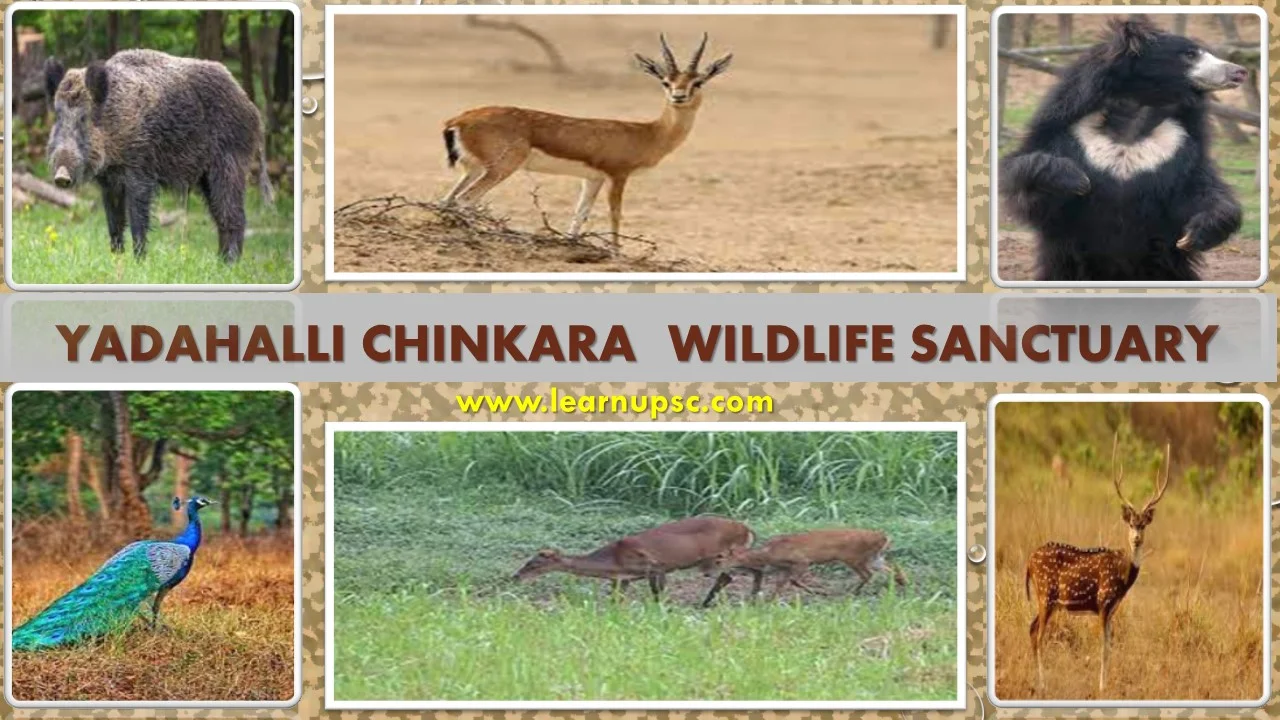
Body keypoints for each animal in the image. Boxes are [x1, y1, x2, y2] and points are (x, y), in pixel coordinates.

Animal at [445, 32, 737, 244]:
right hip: (501, 168)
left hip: (474, 169)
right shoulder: (618, 175)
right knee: (465, 200)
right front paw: (616, 252)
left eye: (698, 82)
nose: (679, 96)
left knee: (448, 200)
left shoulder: (592, 179)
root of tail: (459, 119)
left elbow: (579, 216)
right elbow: (615, 215)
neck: (649, 133)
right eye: (665, 81)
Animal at [509, 515, 747, 599]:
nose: (516, 576)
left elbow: (657, 595)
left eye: (533, 563)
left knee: (727, 576)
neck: (614, 561)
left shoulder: (655, 566)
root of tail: (747, 529)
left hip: (721, 557)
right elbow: (616, 601)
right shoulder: (622, 580)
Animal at [701, 525, 911, 602]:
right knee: (888, 567)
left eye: (718, 559)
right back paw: (903, 582)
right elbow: (780, 584)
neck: (767, 555)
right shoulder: (784, 568)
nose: (706, 573)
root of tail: (883, 537)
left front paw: (821, 593)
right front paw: (770, 600)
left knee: (868, 574)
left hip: (854, 557)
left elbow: (793, 581)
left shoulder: (802, 561)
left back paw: (852, 593)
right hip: (874, 556)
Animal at [998, 18, 1249, 281]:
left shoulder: (1180, 147)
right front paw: (1076, 180)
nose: (1239, 71)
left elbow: (1200, 189)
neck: (1136, 114)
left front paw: (1195, 234)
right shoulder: (1066, 131)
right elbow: (1024, 178)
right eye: (1190, 54)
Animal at [1029, 435, 1172, 691]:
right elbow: (1103, 649)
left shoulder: (1113, 609)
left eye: (1143, 525)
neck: (1124, 577)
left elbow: (1110, 647)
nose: (1136, 539)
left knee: (1031, 629)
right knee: (1038, 635)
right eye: (1131, 524)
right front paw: (1102, 687)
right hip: (1045, 595)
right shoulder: (1103, 601)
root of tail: (1029, 561)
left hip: (1047, 601)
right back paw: (1043, 684)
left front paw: (1106, 684)